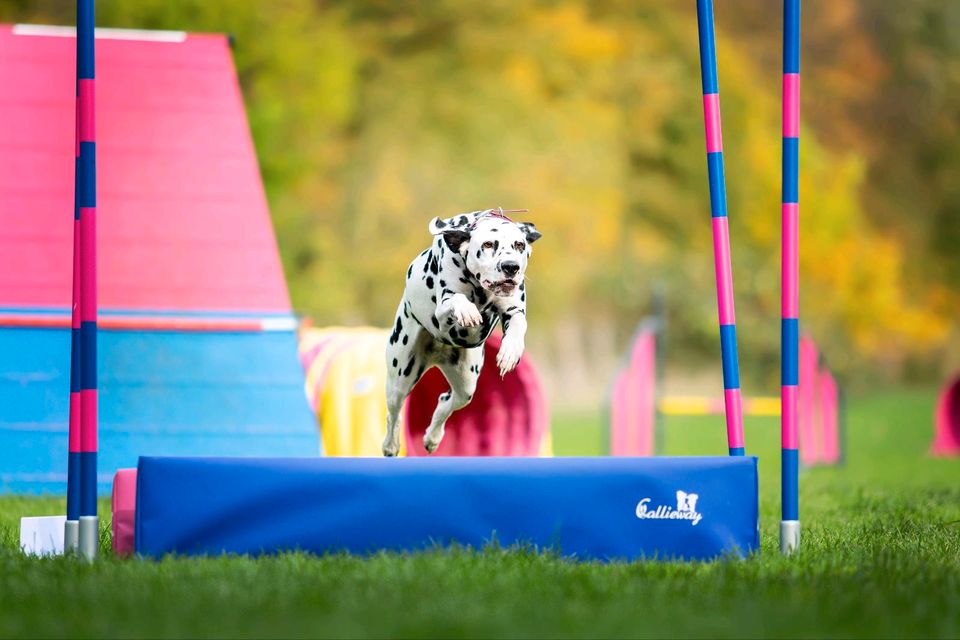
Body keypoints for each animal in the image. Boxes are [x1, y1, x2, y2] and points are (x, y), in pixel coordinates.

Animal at [386, 209, 544, 456]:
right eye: (488, 244)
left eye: (519, 245)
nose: (511, 267)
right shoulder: (443, 310)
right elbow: (457, 299)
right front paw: (468, 310)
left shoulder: (514, 308)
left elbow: (518, 323)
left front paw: (510, 352)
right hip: (400, 378)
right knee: (394, 413)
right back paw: (390, 445)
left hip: (467, 385)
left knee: (446, 400)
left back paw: (432, 437)